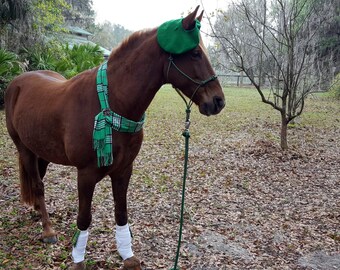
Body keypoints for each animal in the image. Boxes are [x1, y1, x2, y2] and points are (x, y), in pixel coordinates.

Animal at [4, 6, 226, 270]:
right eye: (194, 53)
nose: (218, 101)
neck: (111, 103)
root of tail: (17, 82)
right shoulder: (86, 174)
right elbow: (84, 218)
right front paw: (78, 260)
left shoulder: (123, 170)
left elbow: (121, 212)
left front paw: (127, 255)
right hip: (24, 149)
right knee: (38, 185)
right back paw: (47, 229)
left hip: (43, 152)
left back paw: (38, 212)